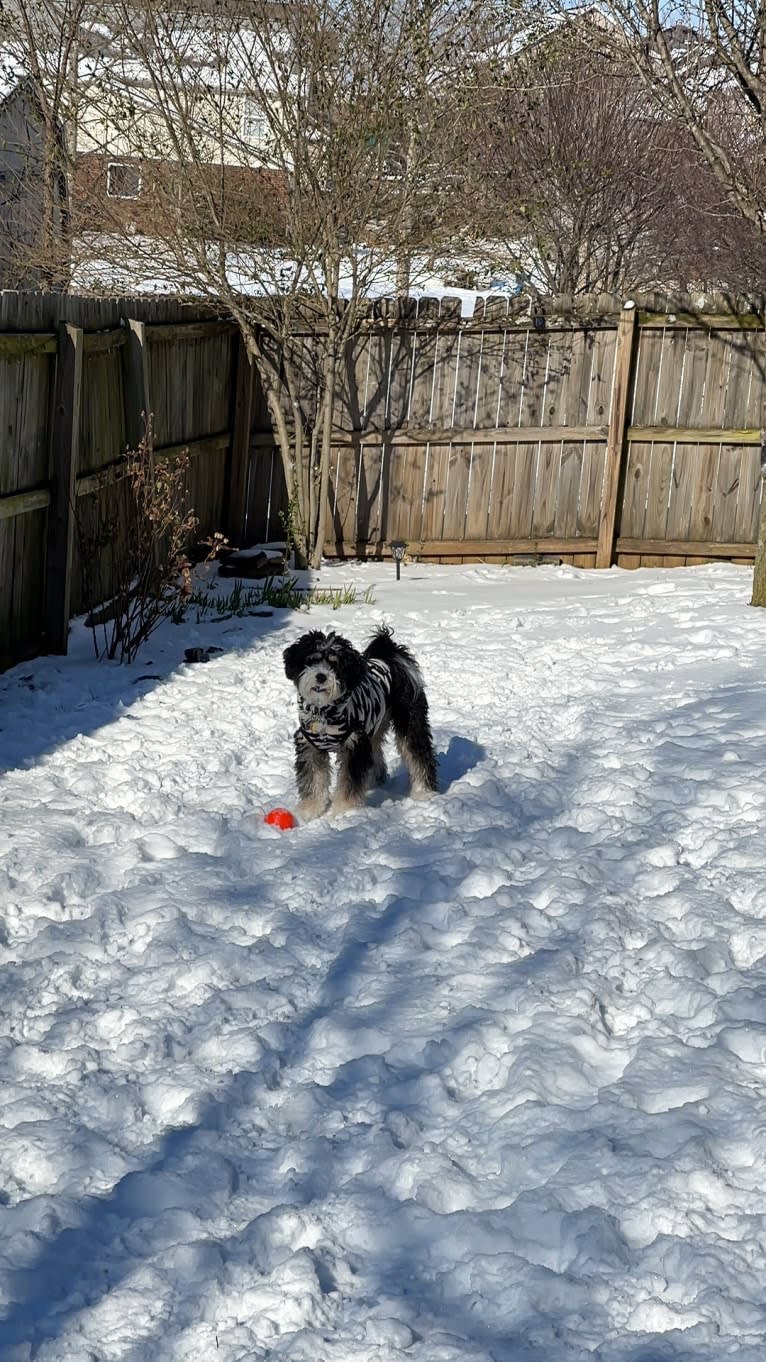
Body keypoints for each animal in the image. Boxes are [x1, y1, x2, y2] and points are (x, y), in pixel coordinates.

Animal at [282, 626, 438, 817]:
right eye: (311, 660)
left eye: (335, 664)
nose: (321, 676)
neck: (325, 713)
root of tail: (388, 656)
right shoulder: (310, 746)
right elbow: (313, 780)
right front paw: (309, 810)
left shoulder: (354, 744)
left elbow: (348, 783)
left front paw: (344, 811)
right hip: (375, 727)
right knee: (376, 754)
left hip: (410, 721)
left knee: (419, 755)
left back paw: (423, 792)